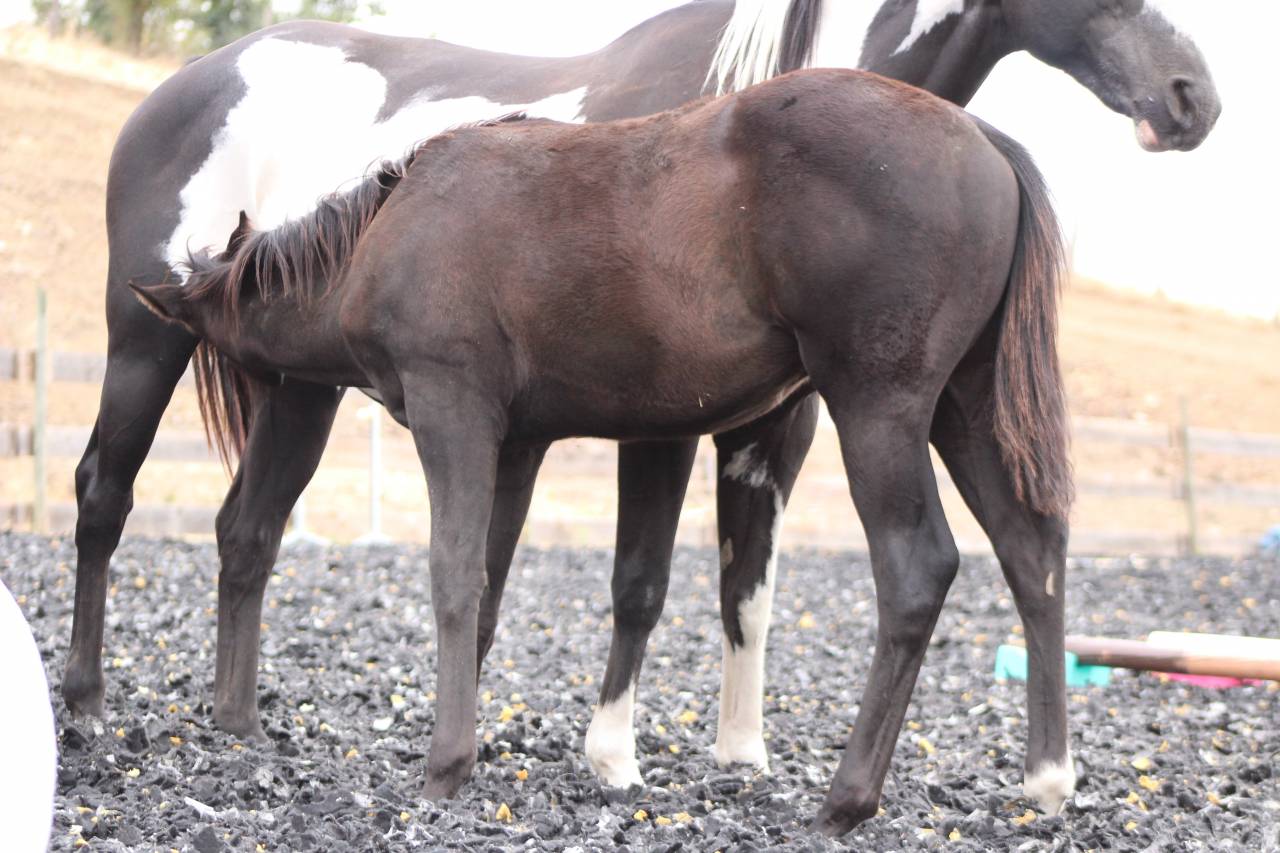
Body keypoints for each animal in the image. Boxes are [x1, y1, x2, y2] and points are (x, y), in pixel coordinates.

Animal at [67, 0, 1220, 812]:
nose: (1187, 96)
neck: (397, 223)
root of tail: (986, 145)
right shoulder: (531, 438)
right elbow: (500, 585)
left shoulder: (459, 413)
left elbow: (458, 575)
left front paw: (450, 764)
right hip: (962, 408)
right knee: (1032, 551)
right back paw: (1046, 779)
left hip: (880, 408)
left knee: (919, 566)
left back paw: (847, 798)